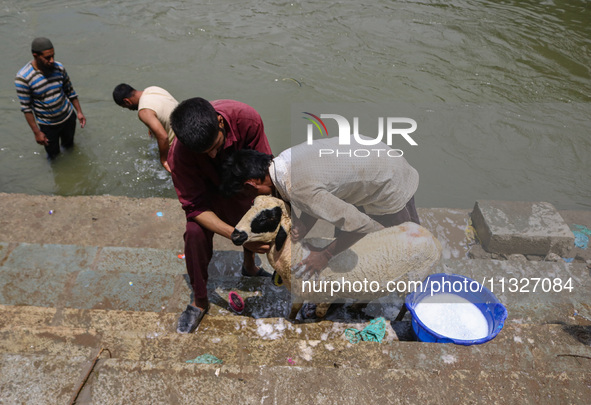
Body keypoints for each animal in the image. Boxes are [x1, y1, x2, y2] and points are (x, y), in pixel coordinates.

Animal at [229, 194, 442, 320]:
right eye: (251, 205)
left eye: (269, 218)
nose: (236, 235)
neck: (296, 253)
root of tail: (432, 238)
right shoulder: (300, 293)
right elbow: (295, 310)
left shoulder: (325, 296)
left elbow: (316, 313)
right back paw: (357, 307)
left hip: (415, 279)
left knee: (407, 304)